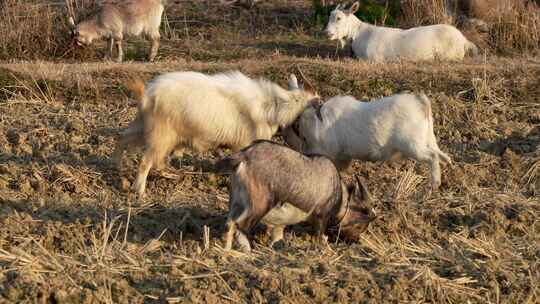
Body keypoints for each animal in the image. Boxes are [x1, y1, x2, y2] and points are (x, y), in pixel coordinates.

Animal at [113, 70, 316, 197]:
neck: (271, 106)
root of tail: (148, 96)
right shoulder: (245, 142)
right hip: (161, 134)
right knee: (147, 161)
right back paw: (140, 190)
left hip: (144, 127)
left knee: (123, 139)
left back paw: (118, 167)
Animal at [215, 140, 376, 252]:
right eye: (361, 226)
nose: (355, 241)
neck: (340, 196)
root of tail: (244, 156)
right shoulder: (321, 217)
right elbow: (320, 236)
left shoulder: (279, 224)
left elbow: (276, 237)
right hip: (259, 204)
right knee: (242, 225)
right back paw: (247, 251)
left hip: (237, 200)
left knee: (230, 223)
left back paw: (227, 251)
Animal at [286, 79, 452, 190]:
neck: (319, 120)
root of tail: (419, 101)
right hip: (427, 141)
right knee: (442, 156)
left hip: (413, 146)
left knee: (432, 157)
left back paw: (434, 184)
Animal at [324, 1, 476, 61]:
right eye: (329, 16)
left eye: (339, 18)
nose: (327, 33)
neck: (359, 33)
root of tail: (464, 40)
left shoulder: (374, 59)